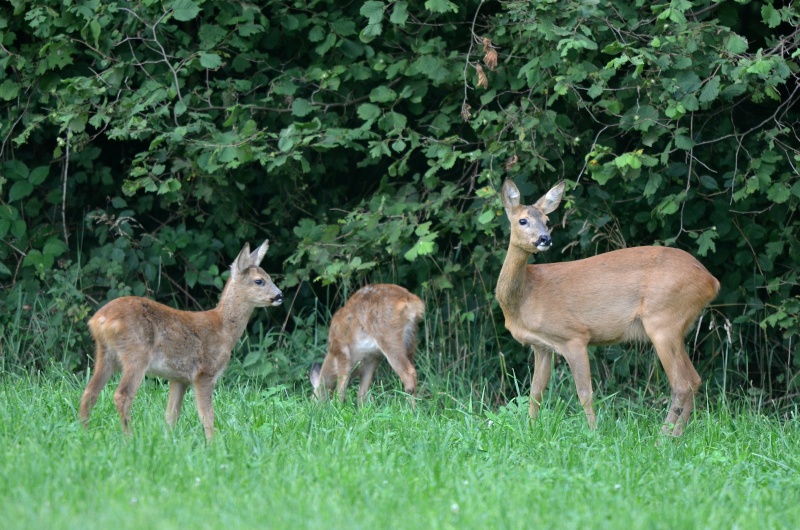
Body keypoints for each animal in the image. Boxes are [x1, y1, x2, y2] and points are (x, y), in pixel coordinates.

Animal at [79, 239, 284, 438]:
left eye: (270, 277)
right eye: (259, 281)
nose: (280, 295)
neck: (224, 330)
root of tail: (99, 320)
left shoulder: (179, 378)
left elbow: (171, 415)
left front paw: (170, 441)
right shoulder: (204, 372)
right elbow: (207, 416)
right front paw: (214, 444)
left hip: (106, 353)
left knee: (89, 392)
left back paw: (85, 434)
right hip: (136, 353)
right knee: (121, 395)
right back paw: (129, 438)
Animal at [496, 179, 720, 436]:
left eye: (547, 221)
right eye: (523, 220)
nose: (545, 239)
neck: (527, 295)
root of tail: (711, 280)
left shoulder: (574, 336)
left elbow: (585, 392)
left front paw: (594, 433)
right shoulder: (541, 346)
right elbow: (535, 392)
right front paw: (531, 431)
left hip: (664, 321)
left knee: (682, 383)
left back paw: (662, 437)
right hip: (675, 326)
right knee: (694, 380)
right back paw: (676, 436)